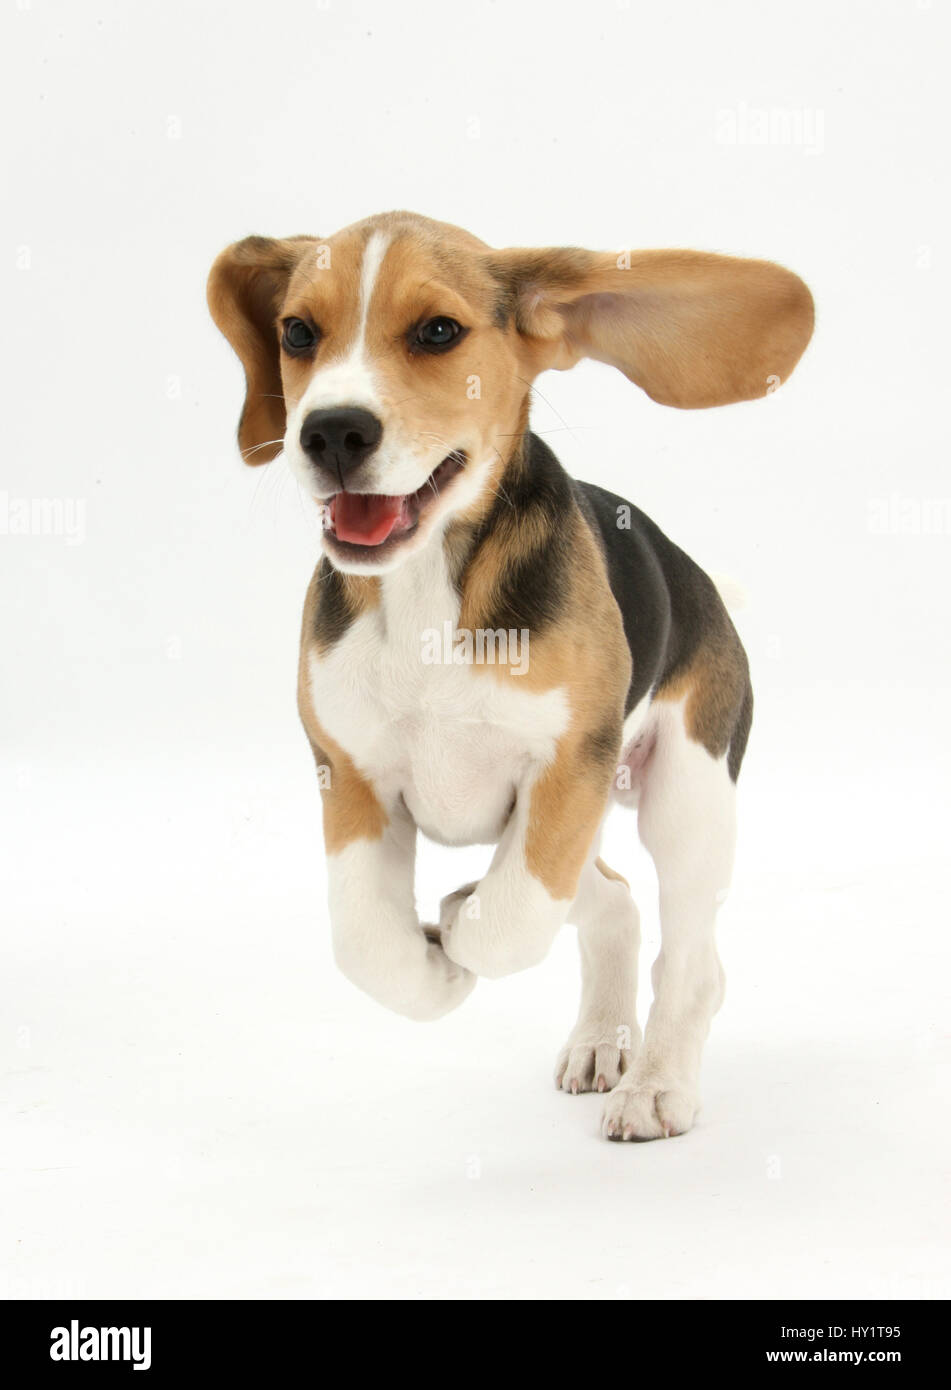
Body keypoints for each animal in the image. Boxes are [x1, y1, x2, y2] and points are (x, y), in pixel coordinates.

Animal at [205, 214, 811, 1139]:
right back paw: (601, 1041)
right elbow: (365, 945)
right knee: (613, 902)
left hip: (687, 795)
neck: (425, 584)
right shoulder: (350, 778)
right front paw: (431, 968)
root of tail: (699, 579)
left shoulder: (566, 771)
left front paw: (456, 926)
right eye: (297, 333)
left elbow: (513, 919)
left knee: (688, 957)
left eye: (437, 332)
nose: (331, 432)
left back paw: (658, 1083)